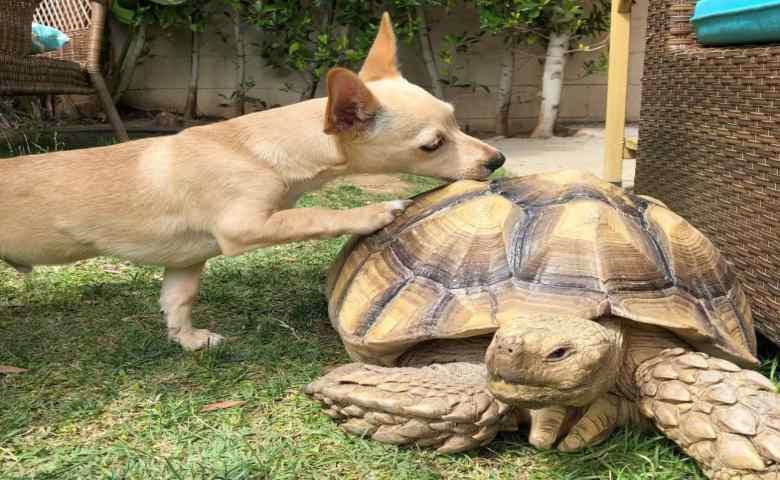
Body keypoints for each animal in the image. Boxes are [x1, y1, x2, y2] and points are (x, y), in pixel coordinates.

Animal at [0, 13, 506, 350]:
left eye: (457, 120)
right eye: (432, 145)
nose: (498, 159)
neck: (259, 146)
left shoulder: (187, 260)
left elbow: (178, 299)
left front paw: (187, 338)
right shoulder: (245, 227)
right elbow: (314, 215)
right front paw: (372, 212)